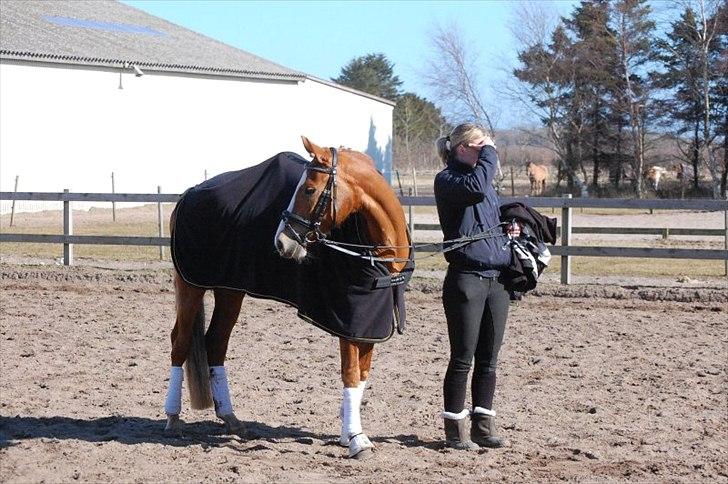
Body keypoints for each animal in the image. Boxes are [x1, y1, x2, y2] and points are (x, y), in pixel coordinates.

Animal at [163, 135, 412, 458]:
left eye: (309, 189)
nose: (281, 241)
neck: (375, 251)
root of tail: (189, 195)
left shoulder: (368, 326)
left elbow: (362, 376)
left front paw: (349, 432)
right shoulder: (348, 324)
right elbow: (350, 373)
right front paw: (358, 439)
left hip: (230, 291)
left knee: (215, 343)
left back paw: (231, 419)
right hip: (191, 285)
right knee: (179, 343)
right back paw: (172, 418)